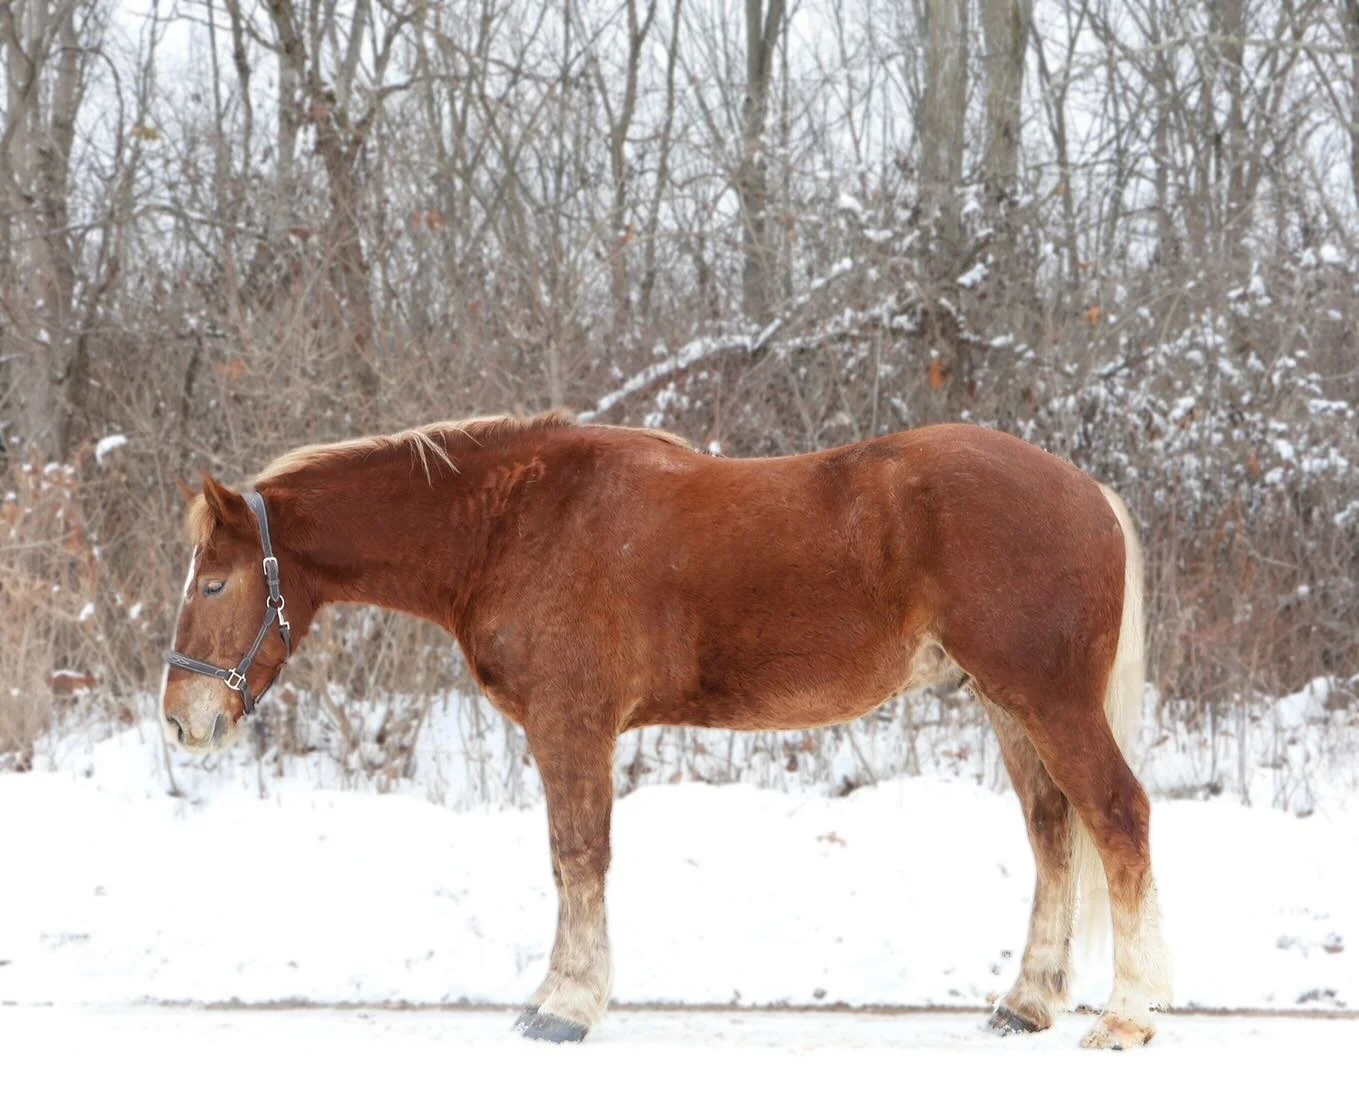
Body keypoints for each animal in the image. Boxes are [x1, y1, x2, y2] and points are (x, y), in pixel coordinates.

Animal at [161, 410, 1172, 1048]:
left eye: (212, 583)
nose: (181, 720)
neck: (514, 523)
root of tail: (1089, 492)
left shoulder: (571, 726)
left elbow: (576, 856)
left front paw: (563, 1006)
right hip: (1006, 703)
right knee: (1052, 833)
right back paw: (1026, 1005)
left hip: (1048, 699)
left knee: (1116, 815)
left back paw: (1127, 1017)